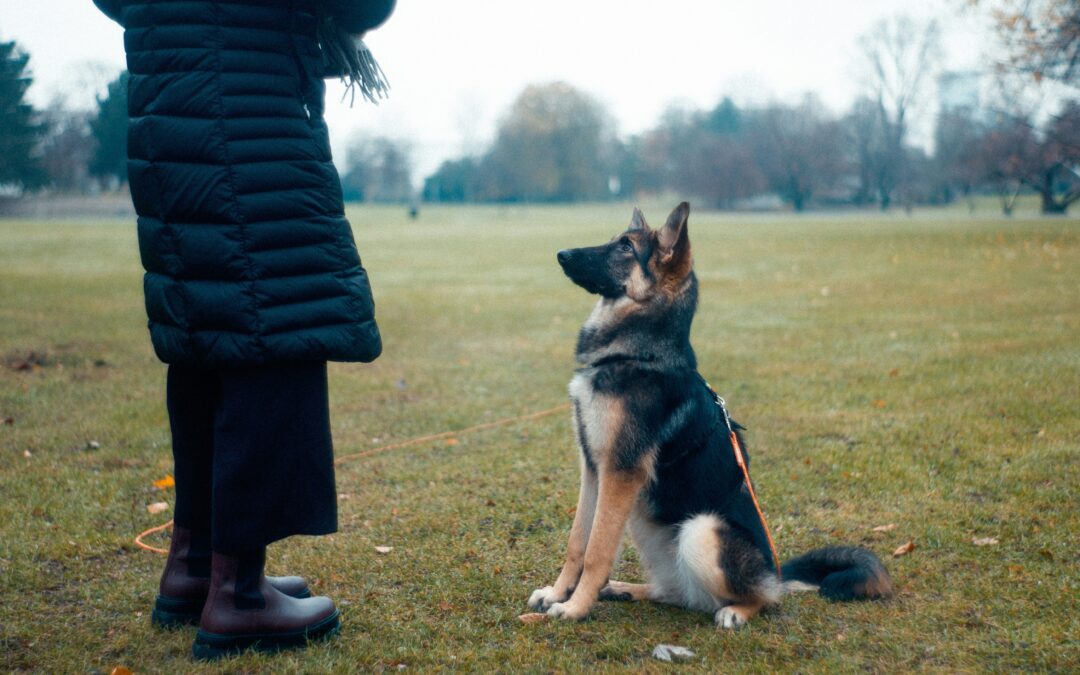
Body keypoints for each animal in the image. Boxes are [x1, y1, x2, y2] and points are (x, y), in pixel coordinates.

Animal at [527, 199, 889, 626]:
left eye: (626, 247)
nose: (561, 254)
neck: (638, 353)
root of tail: (775, 572)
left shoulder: (620, 472)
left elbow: (597, 551)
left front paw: (575, 607)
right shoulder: (594, 469)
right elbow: (578, 543)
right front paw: (557, 593)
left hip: (700, 529)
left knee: (763, 598)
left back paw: (737, 611)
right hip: (646, 522)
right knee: (676, 592)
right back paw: (624, 589)